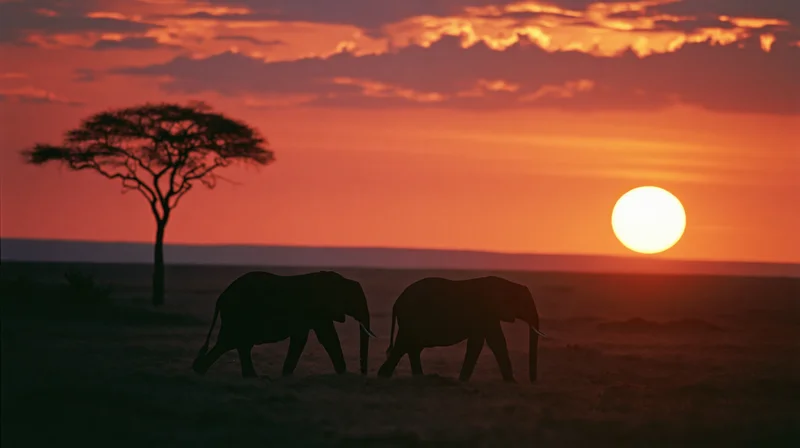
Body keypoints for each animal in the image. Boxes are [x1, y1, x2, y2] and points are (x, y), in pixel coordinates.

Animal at [192, 270, 376, 378]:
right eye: (353, 301)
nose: (363, 373)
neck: (342, 280)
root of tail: (221, 297)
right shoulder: (315, 309)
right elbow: (323, 337)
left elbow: (312, 337)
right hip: (237, 314)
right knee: (230, 342)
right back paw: (201, 371)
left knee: (238, 344)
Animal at [376, 276, 546, 383]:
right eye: (525, 304)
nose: (533, 381)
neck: (507, 284)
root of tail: (397, 302)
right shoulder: (485, 312)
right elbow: (490, 342)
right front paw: (512, 382)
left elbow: (488, 342)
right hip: (411, 319)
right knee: (404, 346)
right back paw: (383, 377)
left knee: (411, 347)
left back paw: (415, 377)